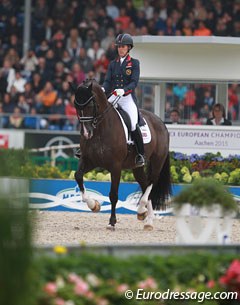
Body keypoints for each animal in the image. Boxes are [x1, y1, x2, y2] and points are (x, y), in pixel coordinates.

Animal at [69, 79, 171, 229]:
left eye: (91, 105)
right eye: (76, 106)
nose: (86, 133)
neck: (101, 129)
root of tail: (161, 123)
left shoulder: (115, 167)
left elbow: (113, 195)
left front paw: (112, 222)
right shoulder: (89, 160)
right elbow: (78, 176)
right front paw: (94, 205)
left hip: (157, 161)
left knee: (151, 182)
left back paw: (143, 211)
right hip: (137, 167)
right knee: (145, 183)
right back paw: (147, 218)